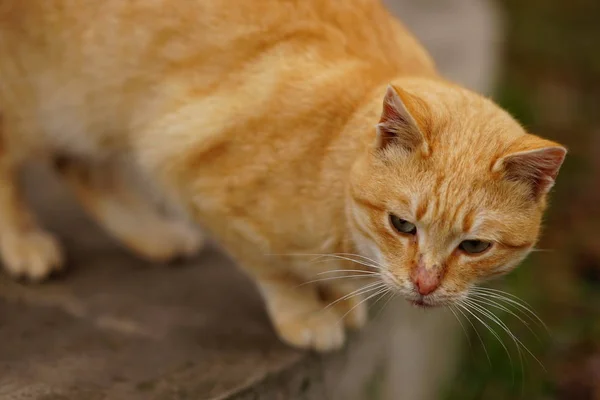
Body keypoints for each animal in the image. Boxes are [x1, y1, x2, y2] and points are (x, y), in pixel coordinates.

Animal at [0, 0, 564, 350]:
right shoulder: (195, 184)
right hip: (46, 99)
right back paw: (25, 243)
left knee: (79, 165)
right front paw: (306, 313)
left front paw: (339, 298)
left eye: (474, 247)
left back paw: (154, 237)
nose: (425, 284)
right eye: (402, 226)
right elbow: (274, 272)